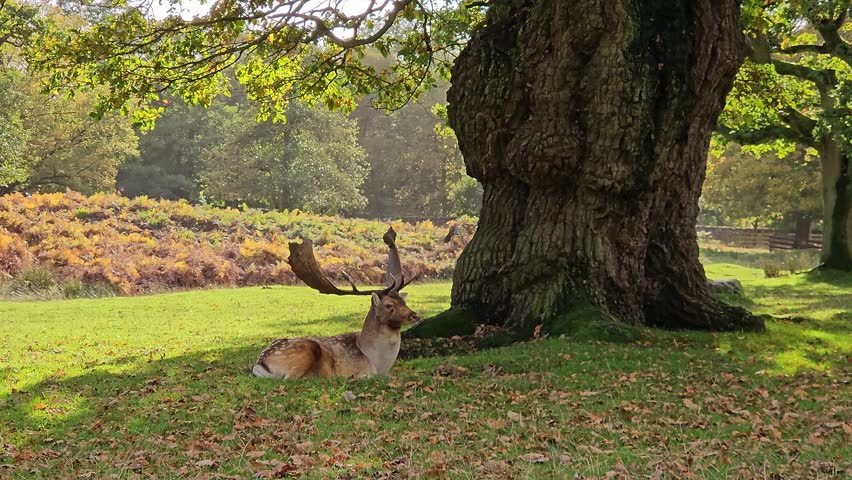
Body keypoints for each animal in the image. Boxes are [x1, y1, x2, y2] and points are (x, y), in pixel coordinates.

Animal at [251, 227, 421, 379]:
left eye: (403, 301)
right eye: (388, 305)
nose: (416, 316)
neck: (379, 364)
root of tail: (259, 363)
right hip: (304, 351)